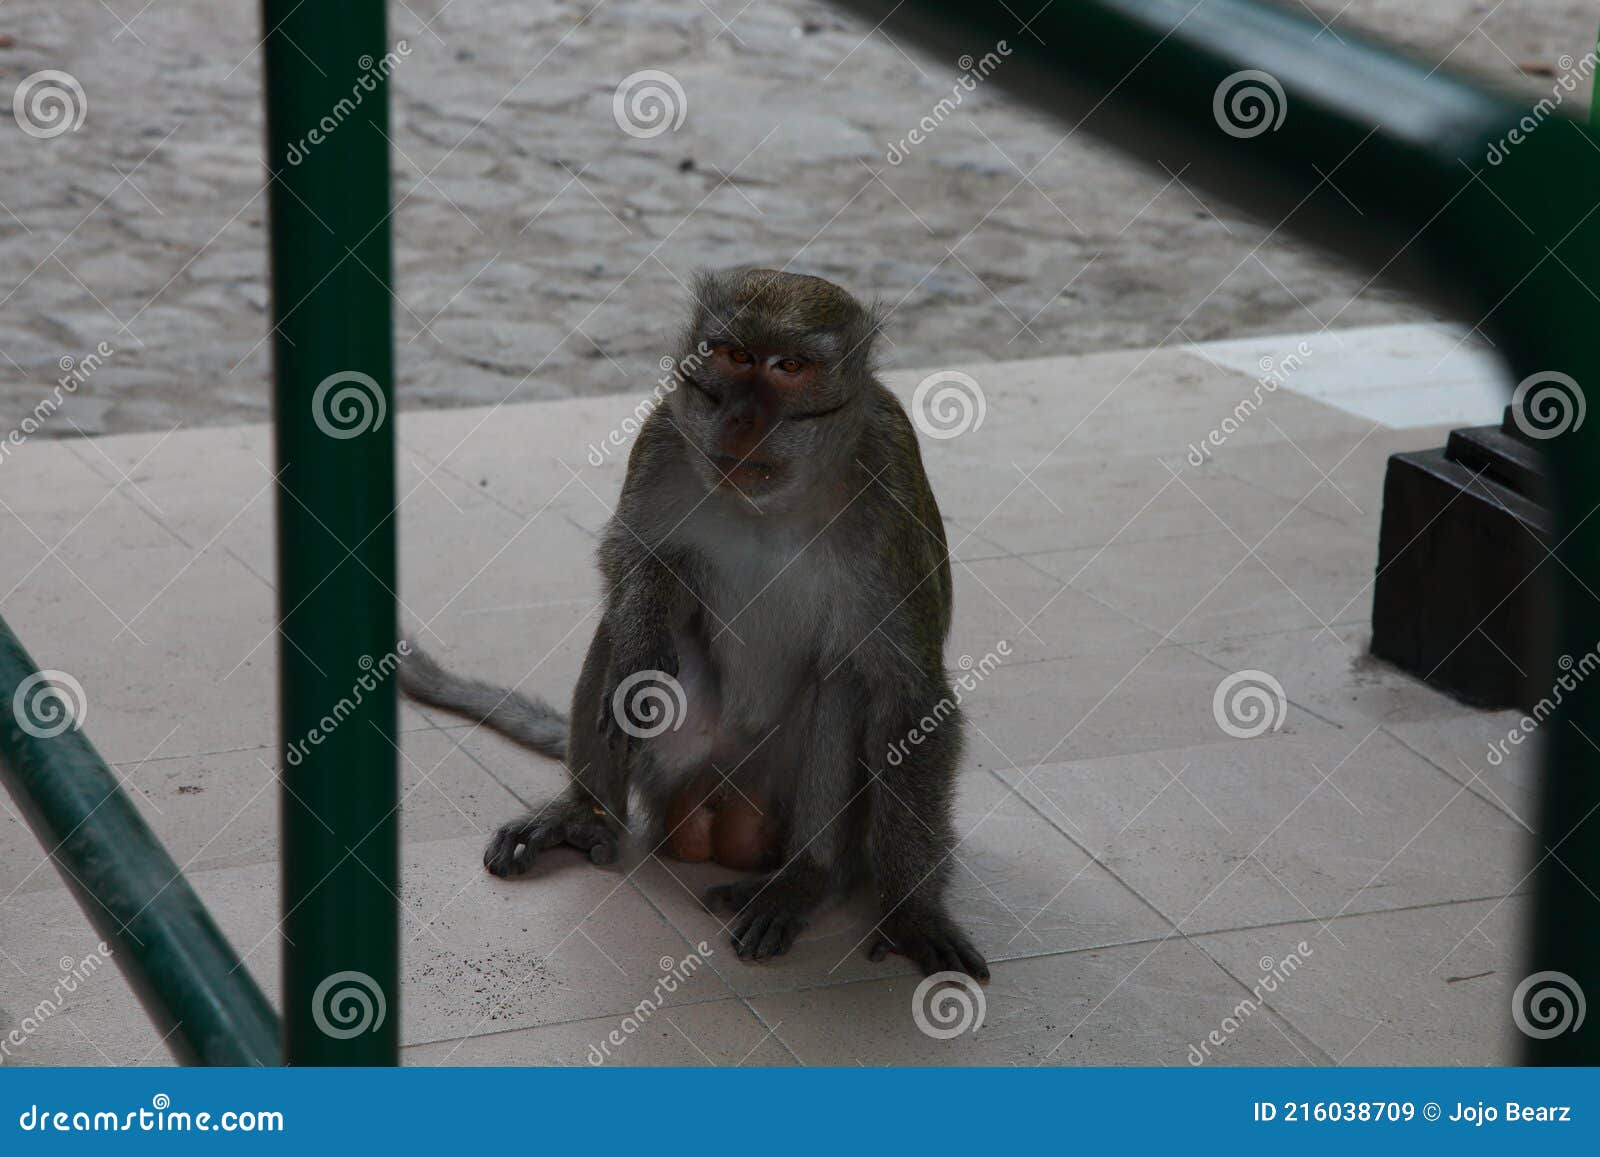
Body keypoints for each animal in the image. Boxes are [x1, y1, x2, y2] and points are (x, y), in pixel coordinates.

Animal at [403, 268, 985, 979]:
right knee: (623, 648)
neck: (774, 500)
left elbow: (909, 699)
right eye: (733, 355)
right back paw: (583, 812)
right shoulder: (663, 436)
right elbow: (634, 561)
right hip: (677, 762)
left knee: (846, 681)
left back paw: (806, 878)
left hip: (784, 794)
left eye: (790, 367)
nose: (740, 417)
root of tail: (723, 799)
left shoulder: (889, 486)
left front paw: (911, 911)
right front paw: (643, 625)